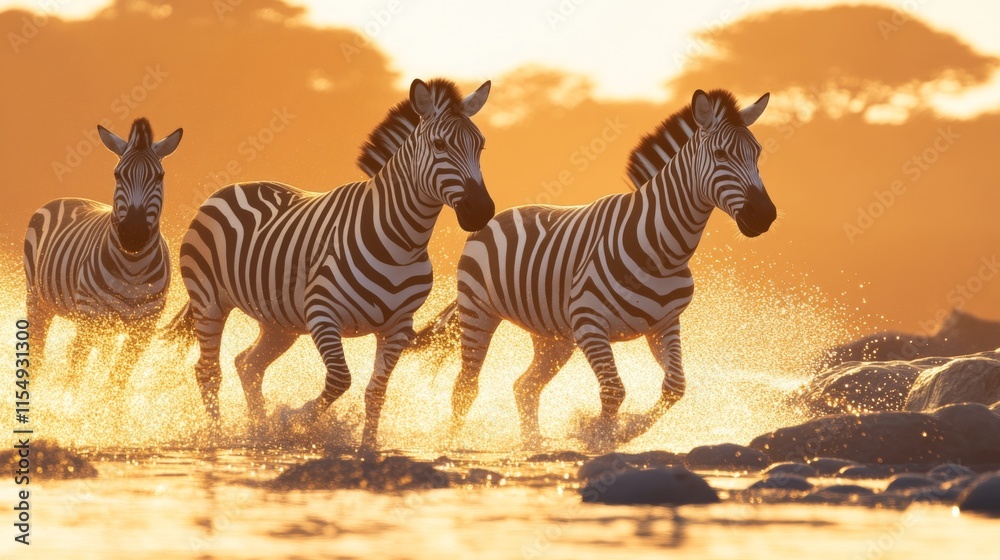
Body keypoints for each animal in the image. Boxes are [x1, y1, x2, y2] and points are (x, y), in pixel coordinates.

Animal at [24, 118, 183, 383]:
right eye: (117, 174)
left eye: (160, 176)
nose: (134, 234)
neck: (133, 268)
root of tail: (66, 198)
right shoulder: (90, 315)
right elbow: (75, 371)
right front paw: (72, 395)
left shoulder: (145, 326)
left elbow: (117, 379)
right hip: (37, 300)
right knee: (38, 353)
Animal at [163, 79, 495, 448]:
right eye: (439, 144)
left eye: (480, 145)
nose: (482, 211)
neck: (402, 242)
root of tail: (228, 188)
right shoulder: (322, 314)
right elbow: (340, 379)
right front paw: (294, 419)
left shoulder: (397, 327)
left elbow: (376, 392)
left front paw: (367, 447)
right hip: (209, 301)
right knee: (208, 371)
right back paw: (218, 436)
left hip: (279, 324)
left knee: (248, 365)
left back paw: (259, 431)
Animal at [411, 89, 776, 448]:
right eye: (721, 154)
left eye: (757, 153)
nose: (765, 215)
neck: (662, 250)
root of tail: (492, 217)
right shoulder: (590, 325)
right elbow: (614, 390)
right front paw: (599, 436)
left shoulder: (664, 325)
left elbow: (674, 387)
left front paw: (626, 431)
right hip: (479, 313)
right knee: (465, 386)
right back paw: (452, 444)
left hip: (553, 337)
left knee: (525, 386)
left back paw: (533, 444)